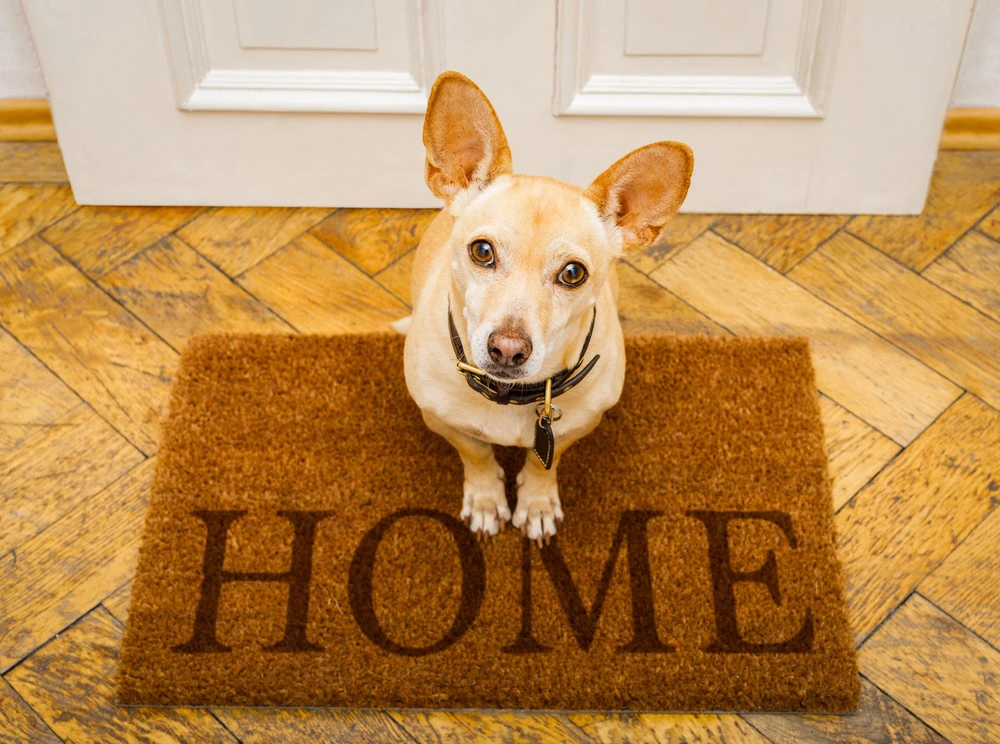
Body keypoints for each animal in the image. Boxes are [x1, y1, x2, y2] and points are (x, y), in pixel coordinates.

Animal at [394, 71, 692, 548]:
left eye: (573, 273)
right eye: (482, 252)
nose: (508, 349)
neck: (511, 397)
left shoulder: (575, 428)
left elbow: (541, 461)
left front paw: (535, 502)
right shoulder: (441, 420)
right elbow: (476, 453)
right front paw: (485, 498)